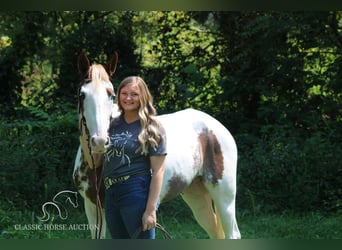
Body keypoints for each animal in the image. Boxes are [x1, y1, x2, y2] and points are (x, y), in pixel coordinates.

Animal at [73, 52, 242, 238]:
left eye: (111, 94)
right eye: (81, 94)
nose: (100, 141)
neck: (97, 165)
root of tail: (214, 127)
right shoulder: (93, 208)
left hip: (224, 197)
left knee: (233, 233)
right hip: (197, 196)